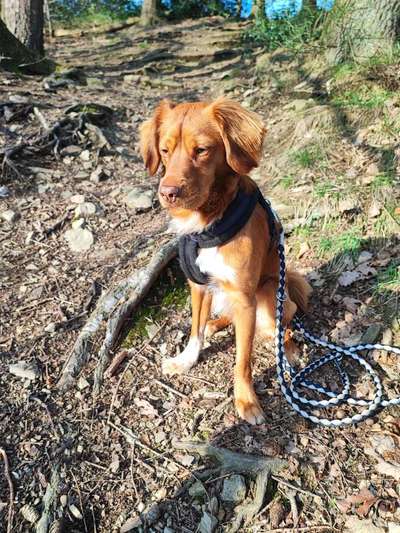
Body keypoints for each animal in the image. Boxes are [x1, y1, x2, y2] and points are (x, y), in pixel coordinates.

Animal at [139, 97, 310, 424]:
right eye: (165, 150)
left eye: (201, 150)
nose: (168, 193)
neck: (207, 225)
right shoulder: (198, 286)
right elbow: (194, 331)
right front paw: (186, 360)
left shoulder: (244, 298)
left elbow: (242, 360)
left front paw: (246, 401)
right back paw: (216, 324)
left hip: (268, 296)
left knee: (282, 328)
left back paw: (288, 350)